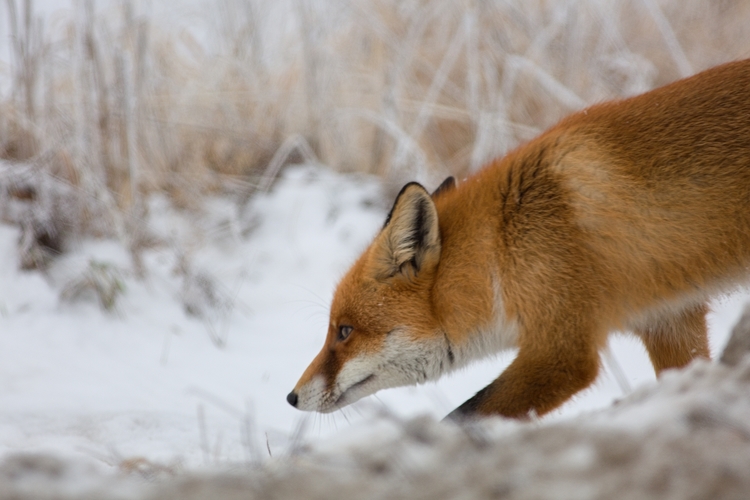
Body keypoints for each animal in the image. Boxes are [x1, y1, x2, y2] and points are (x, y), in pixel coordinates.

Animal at [288, 58, 750, 420]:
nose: (291, 397)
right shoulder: (670, 319)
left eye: (344, 331)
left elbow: (463, 416)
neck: (502, 246)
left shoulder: (562, 350)